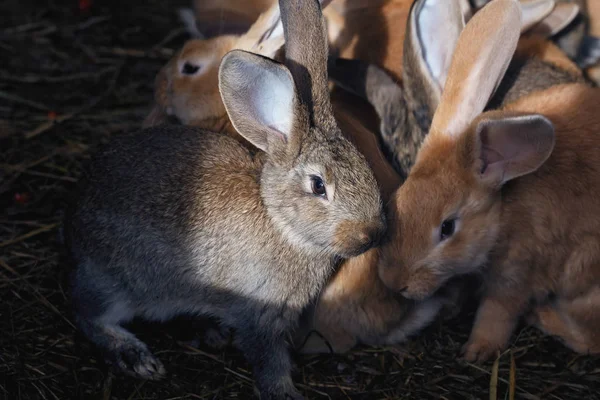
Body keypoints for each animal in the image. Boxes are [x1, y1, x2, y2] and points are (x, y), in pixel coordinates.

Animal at [62, 1, 384, 398]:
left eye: (366, 169)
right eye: (318, 186)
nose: (371, 234)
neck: (279, 220)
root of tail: (73, 217)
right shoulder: (260, 315)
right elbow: (269, 361)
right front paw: (285, 392)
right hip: (116, 281)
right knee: (88, 312)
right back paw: (134, 355)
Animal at [376, 0, 600, 362]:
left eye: (447, 228)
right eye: (397, 203)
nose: (394, 282)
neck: (503, 212)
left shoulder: (518, 268)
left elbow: (497, 311)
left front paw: (476, 351)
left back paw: (543, 317)